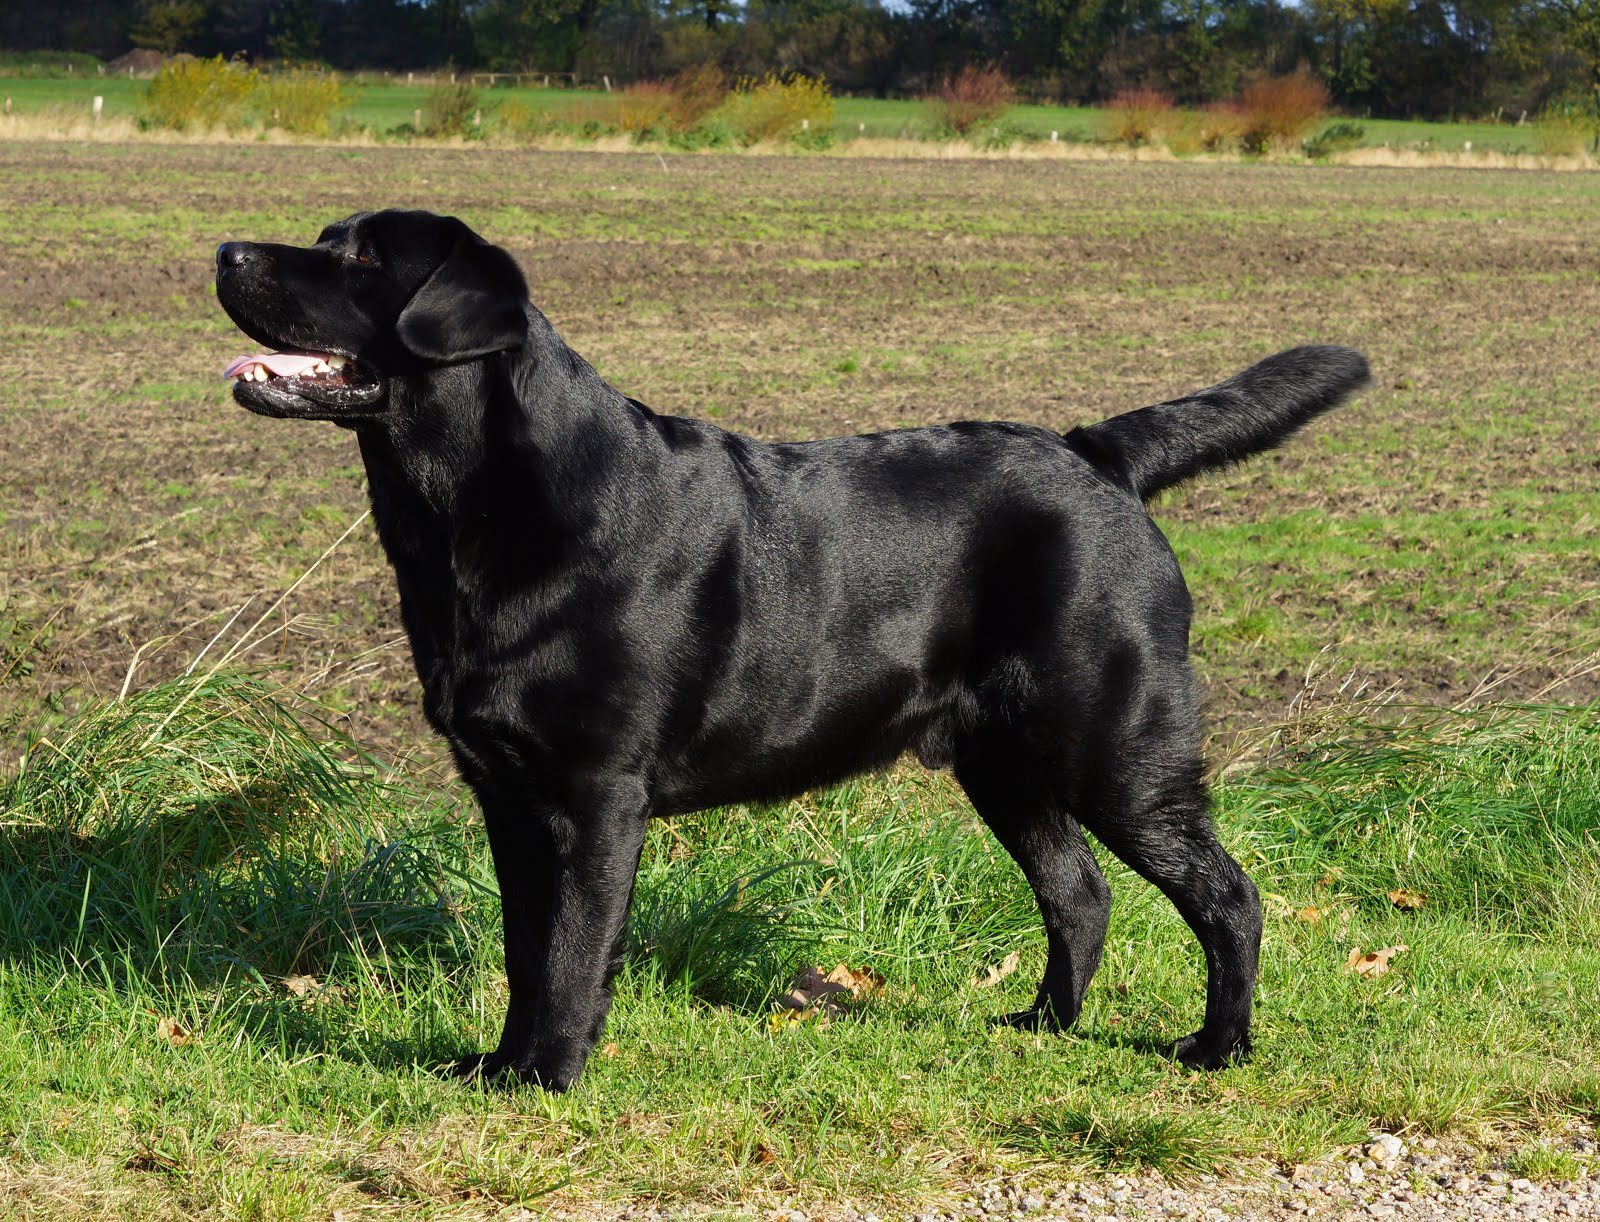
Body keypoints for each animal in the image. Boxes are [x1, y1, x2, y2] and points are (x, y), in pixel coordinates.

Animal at [209, 209, 1363, 1087]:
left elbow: (574, 953)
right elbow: (525, 951)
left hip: (1114, 747)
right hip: (1002, 760)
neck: (466, 514)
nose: (225, 249)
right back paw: (1044, 1025)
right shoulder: (507, 793)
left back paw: (1217, 1046)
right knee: (1078, 893)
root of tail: (1097, 454)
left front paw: (548, 1078)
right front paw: (496, 1067)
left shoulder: (596, 792)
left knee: (1226, 896)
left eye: (363, 257)